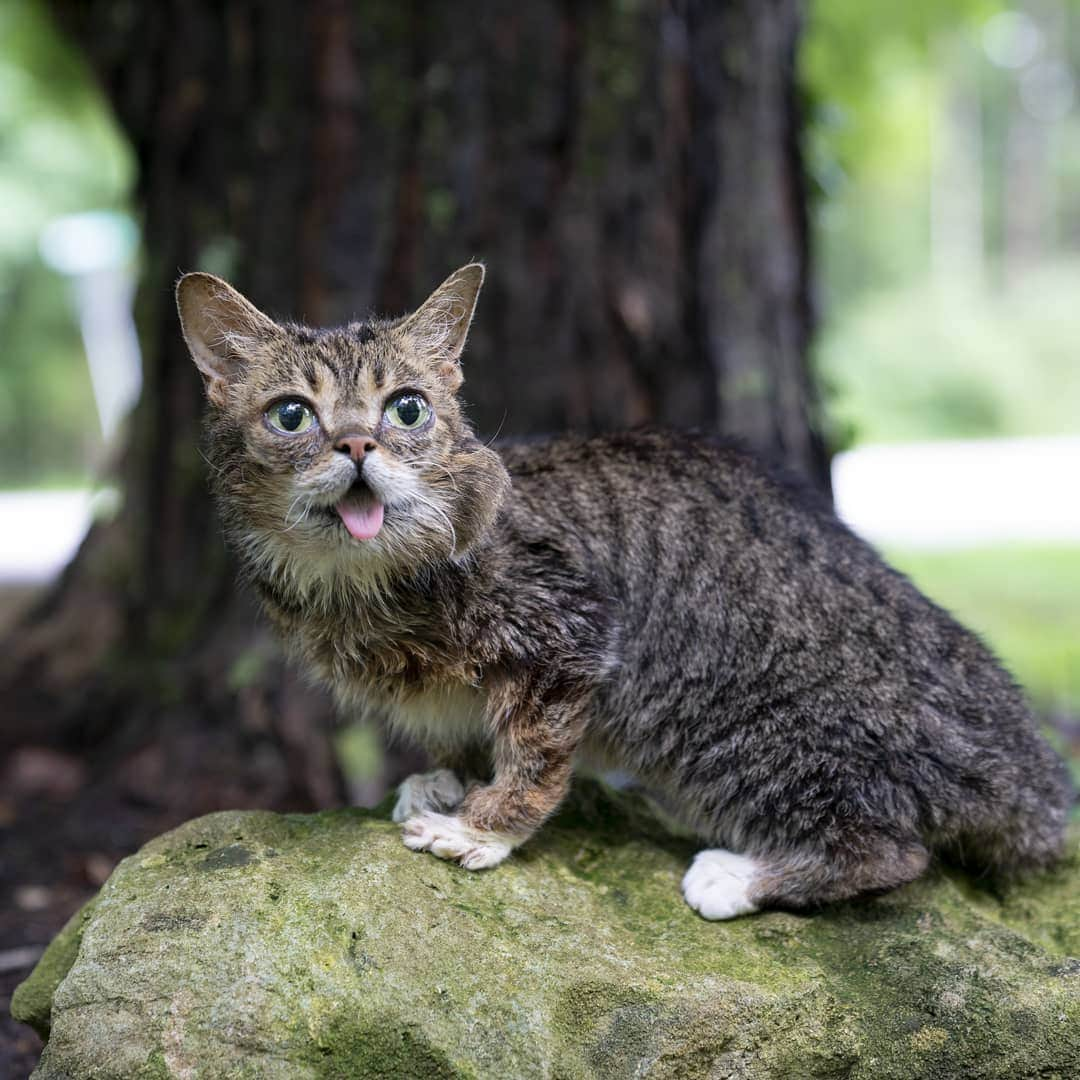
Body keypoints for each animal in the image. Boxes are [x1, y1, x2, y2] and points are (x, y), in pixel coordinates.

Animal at [177, 263, 1071, 920]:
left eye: (406, 409)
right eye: (292, 416)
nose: (359, 444)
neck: (358, 584)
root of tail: (1026, 762)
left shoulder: (569, 629)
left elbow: (538, 753)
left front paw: (485, 827)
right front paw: (448, 775)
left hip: (735, 728)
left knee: (895, 849)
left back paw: (741, 877)